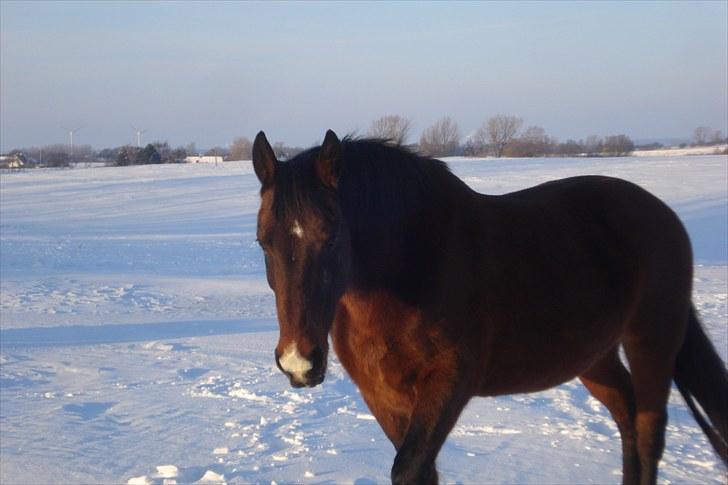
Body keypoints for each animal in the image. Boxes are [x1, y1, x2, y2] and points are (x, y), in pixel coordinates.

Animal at [252, 130, 728, 484]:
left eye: (331, 236)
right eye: (263, 242)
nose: (298, 362)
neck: (418, 261)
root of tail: (661, 214)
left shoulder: (449, 384)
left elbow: (409, 470)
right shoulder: (382, 395)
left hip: (652, 340)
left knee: (648, 433)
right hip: (593, 355)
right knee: (627, 416)